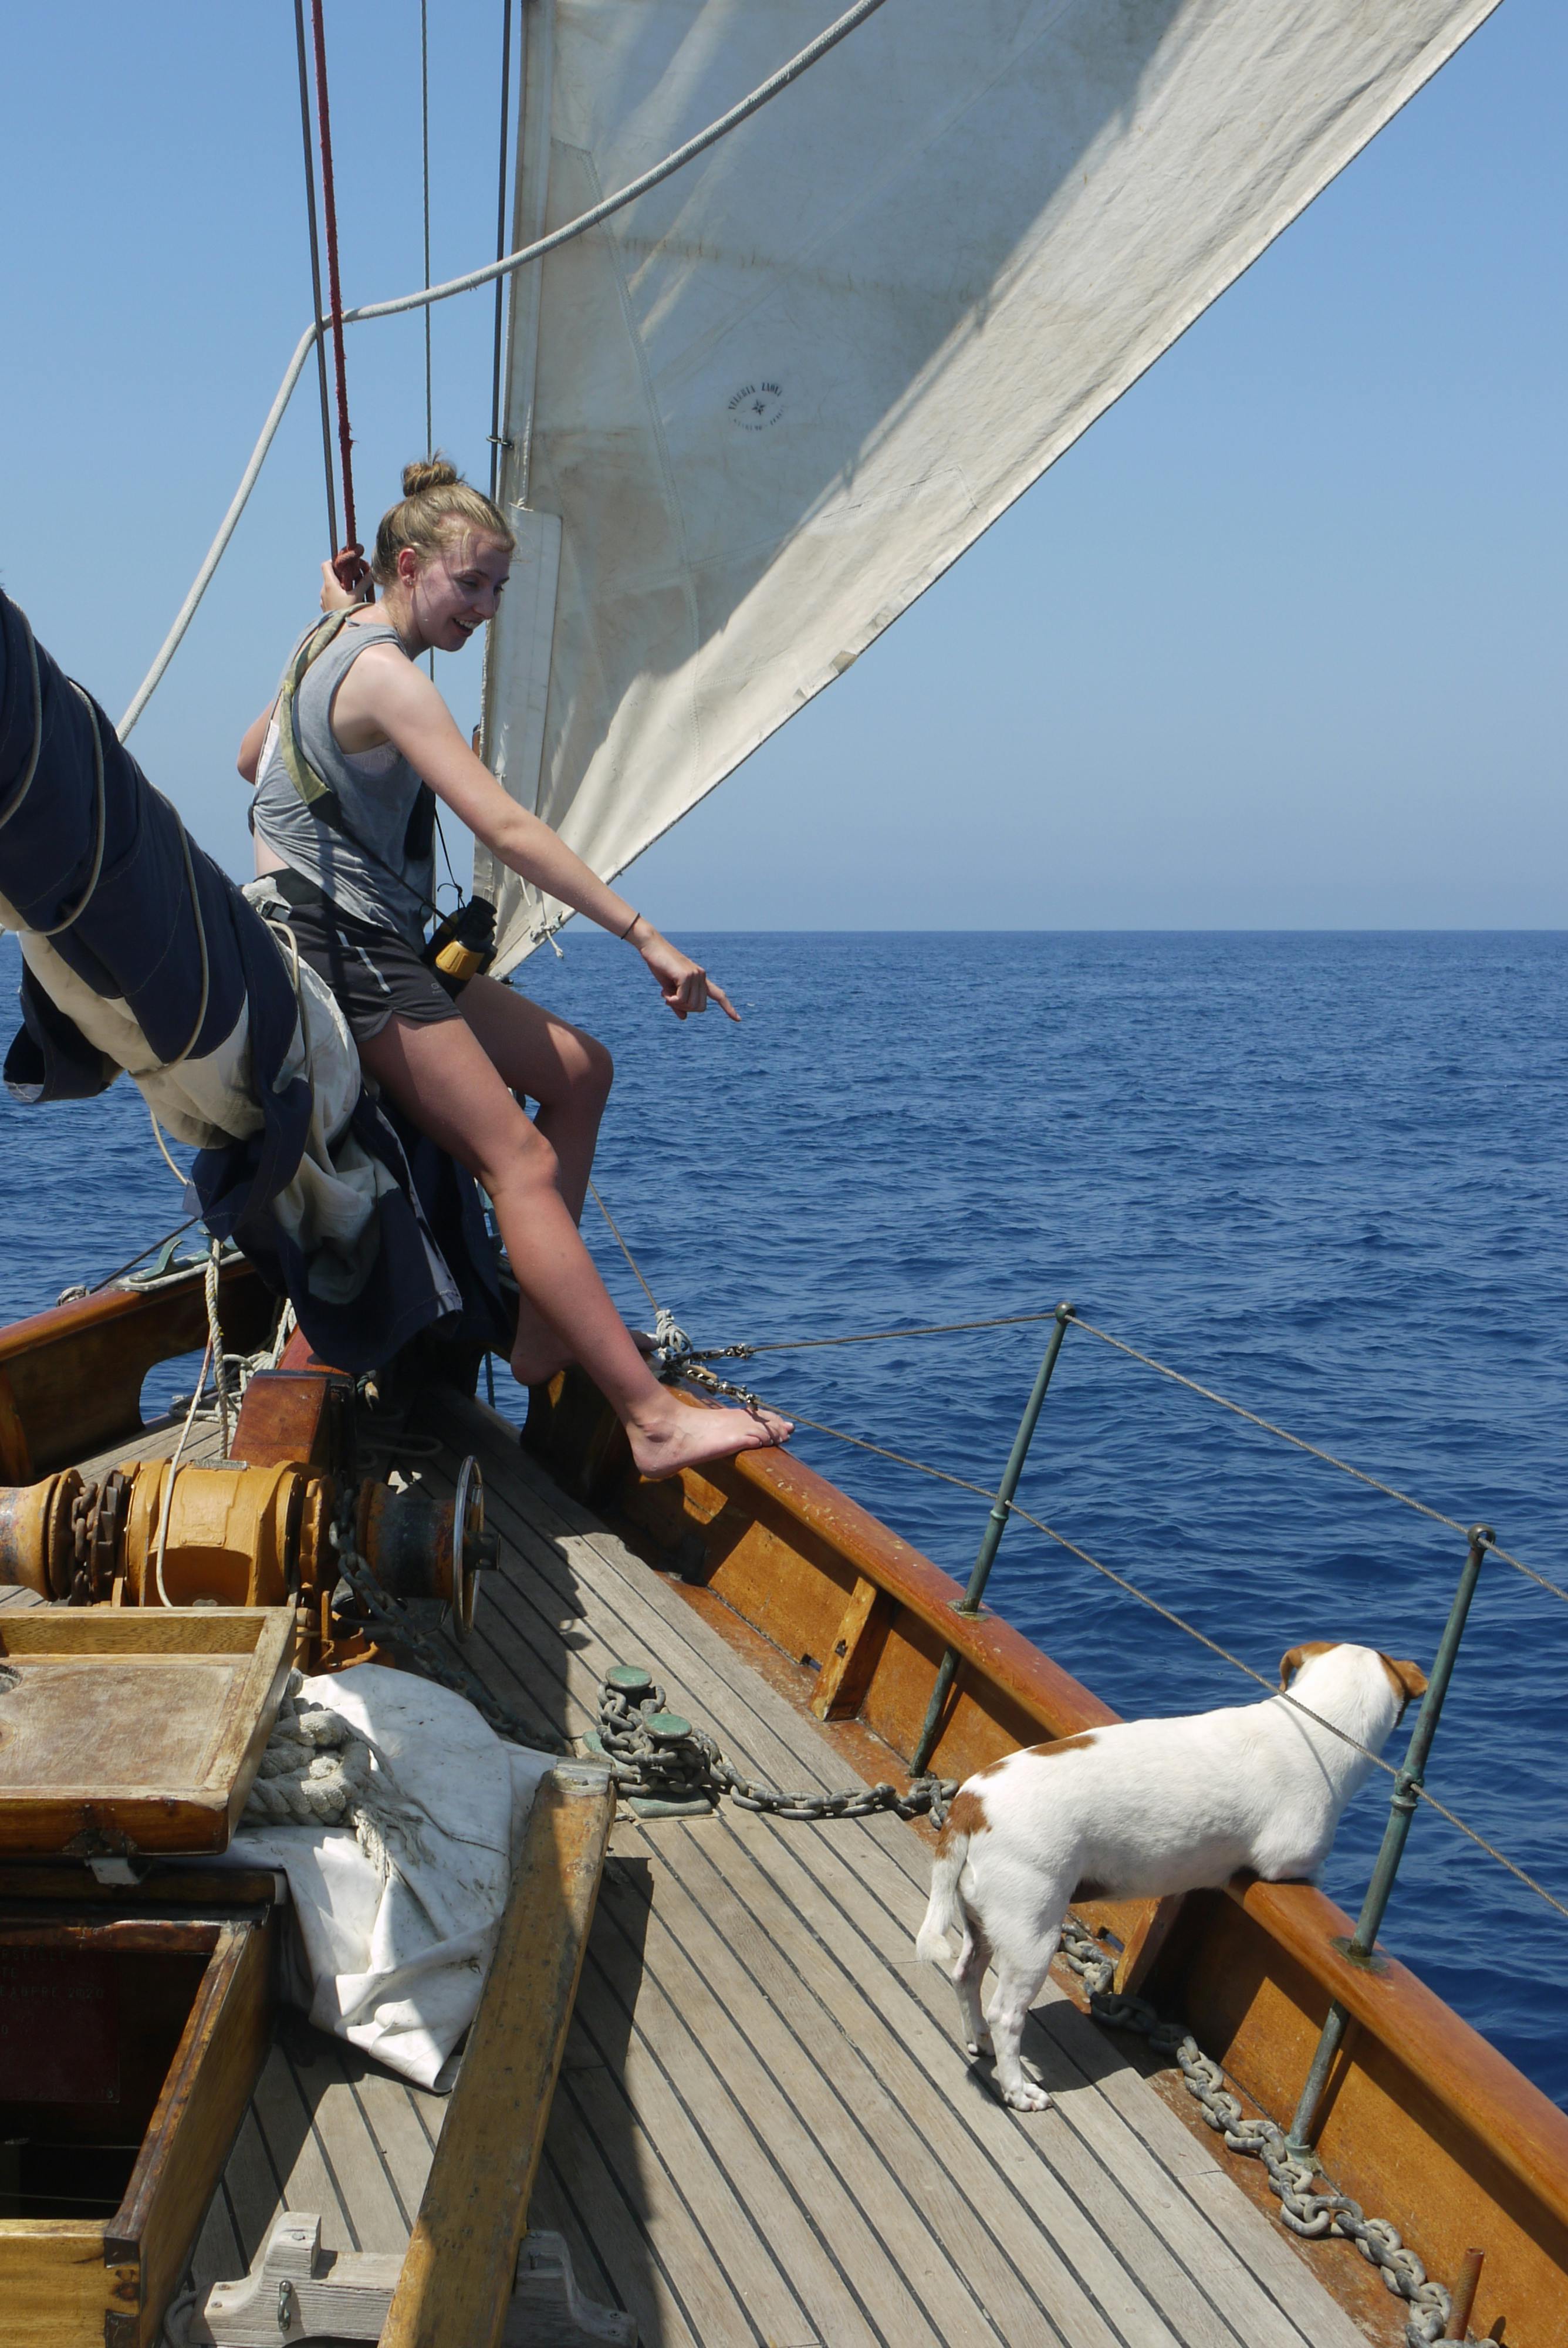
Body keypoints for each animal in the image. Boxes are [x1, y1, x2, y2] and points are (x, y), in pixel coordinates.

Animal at [911, 1644, 1427, 2123]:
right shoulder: (1291, 1861)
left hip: (983, 1922)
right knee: (1007, 2015)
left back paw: (978, 2039)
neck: (1313, 1729)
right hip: (1031, 1934)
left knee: (965, 1974)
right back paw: (1019, 2089)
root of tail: (970, 1805)